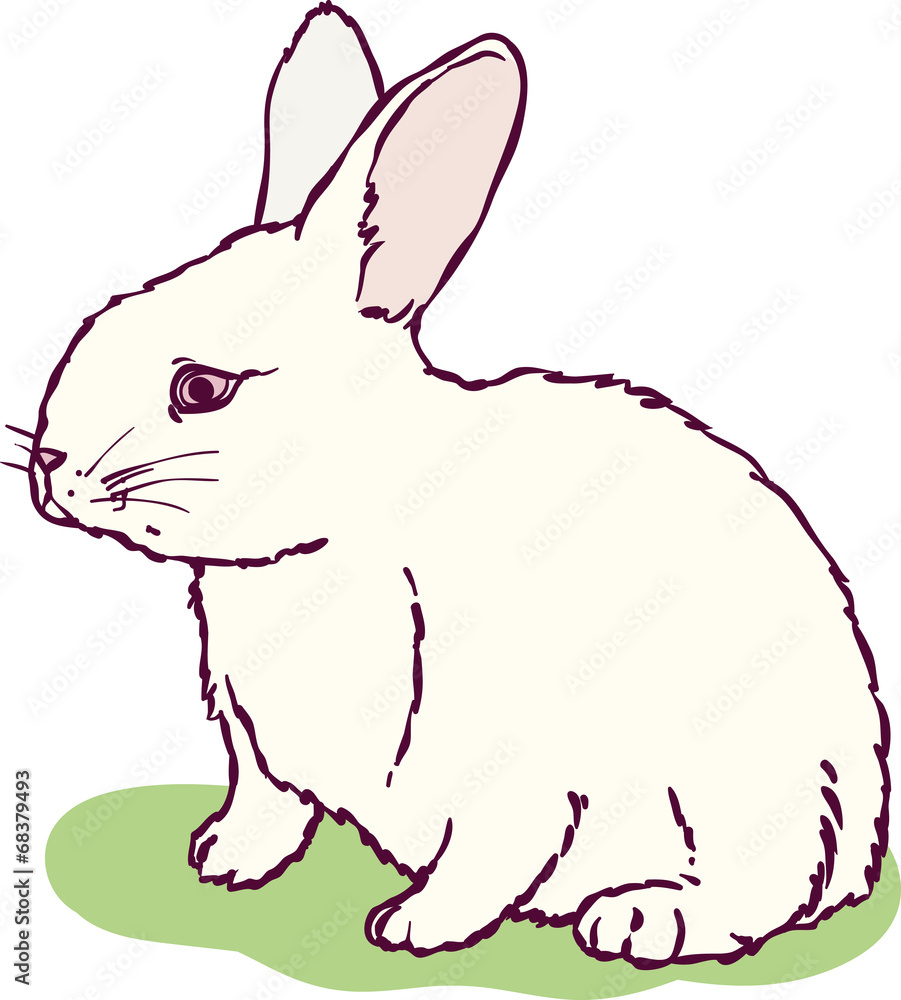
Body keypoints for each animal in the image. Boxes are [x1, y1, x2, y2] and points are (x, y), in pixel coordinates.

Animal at [21, 1, 889, 969]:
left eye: (200, 390)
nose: (50, 470)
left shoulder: (506, 765)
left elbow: (491, 851)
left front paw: (411, 928)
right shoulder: (256, 747)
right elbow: (267, 804)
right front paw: (223, 859)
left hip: (743, 780)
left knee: (765, 889)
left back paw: (639, 919)